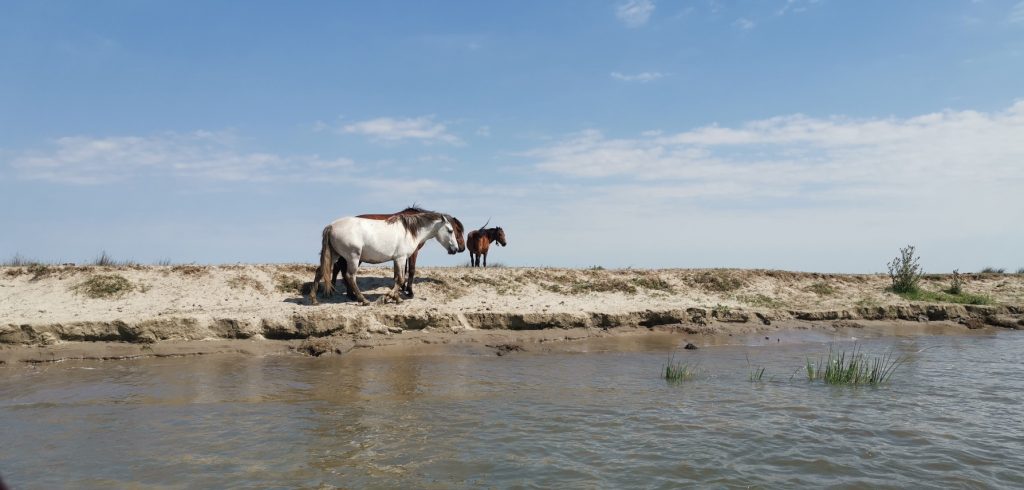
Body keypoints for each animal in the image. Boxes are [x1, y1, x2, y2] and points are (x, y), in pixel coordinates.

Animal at [307, 211, 460, 306]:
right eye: (450, 230)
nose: (456, 249)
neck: (408, 231)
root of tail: (331, 226)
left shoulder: (397, 260)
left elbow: (397, 279)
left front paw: (396, 298)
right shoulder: (401, 258)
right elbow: (400, 279)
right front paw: (388, 297)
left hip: (334, 255)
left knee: (320, 271)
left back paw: (314, 299)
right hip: (353, 257)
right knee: (350, 276)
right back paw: (363, 300)